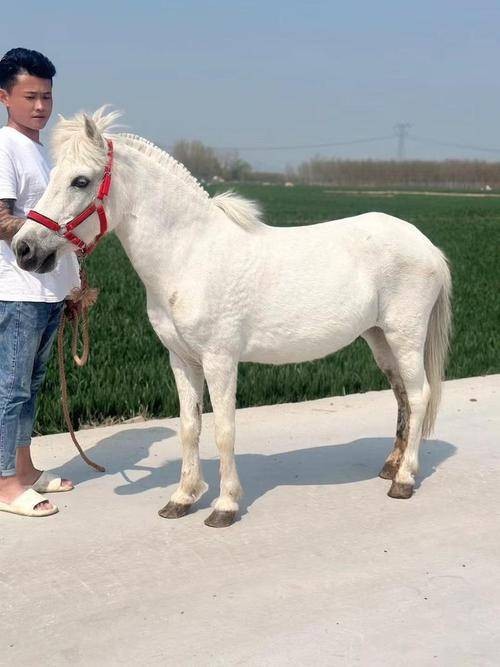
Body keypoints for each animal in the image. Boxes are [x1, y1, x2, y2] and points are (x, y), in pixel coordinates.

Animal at [12, 108, 452, 528]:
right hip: (379, 338)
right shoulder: (182, 360)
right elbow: (189, 428)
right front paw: (182, 499)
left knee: (419, 395)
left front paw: (224, 506)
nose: (24, 249)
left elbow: (224, 430)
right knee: (402, 397)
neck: (190, 254)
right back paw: (391, 466)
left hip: (405, 337)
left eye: (80, 181)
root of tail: (425, 244)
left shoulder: (219, 360)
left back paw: (404, 480)